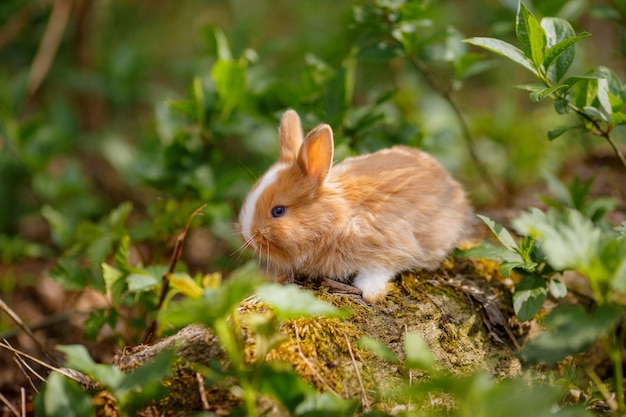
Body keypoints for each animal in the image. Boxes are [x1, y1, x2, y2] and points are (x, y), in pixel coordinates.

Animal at [236, 109, 470, 300]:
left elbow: (379, 270)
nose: (247, 237)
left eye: (278, 211)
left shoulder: (389, 244)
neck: (338, 218)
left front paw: (371, 293)